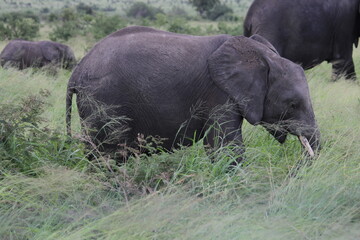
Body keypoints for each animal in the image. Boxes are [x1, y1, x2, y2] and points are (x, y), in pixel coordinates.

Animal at [66, 25, 320, 162]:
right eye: (292, 104)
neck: (259, 54)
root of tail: (77, 70)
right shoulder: (219, 93)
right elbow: (227, 147)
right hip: (103, 102)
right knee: (109, 155)